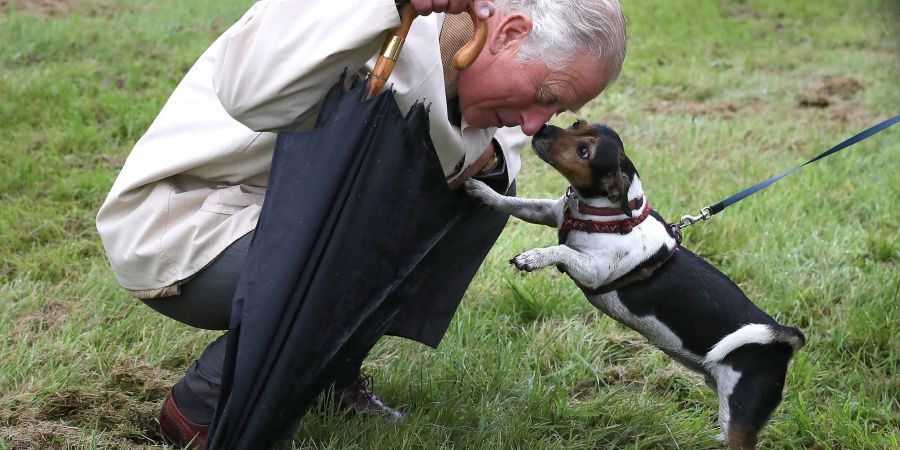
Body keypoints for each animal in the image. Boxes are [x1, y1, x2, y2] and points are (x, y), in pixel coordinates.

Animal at [468, 120, 804, 450]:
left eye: (583, 151)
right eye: (577, 124)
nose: (541, 128)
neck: (606, 214)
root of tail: (784, 337)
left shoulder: (593, 270)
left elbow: (561, 250)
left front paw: (534, 257)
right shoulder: (547, 212)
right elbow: (515, 203)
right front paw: (482, 190)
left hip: (740, 413)